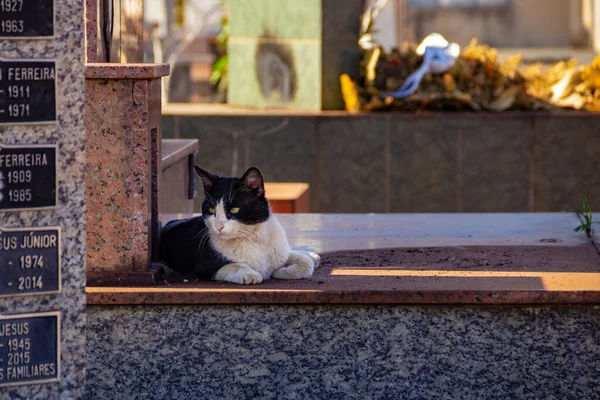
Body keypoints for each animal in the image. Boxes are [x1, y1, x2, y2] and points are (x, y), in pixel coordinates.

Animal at [158, 166, 318, 284]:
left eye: (234, 209)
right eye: (211, 210)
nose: (218, 226)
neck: (253, 238)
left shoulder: (280, 252)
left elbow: (305, 264)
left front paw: (281, 270)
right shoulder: (202, 269)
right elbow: (231, 266)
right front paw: (250, 273)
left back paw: (310, 252)